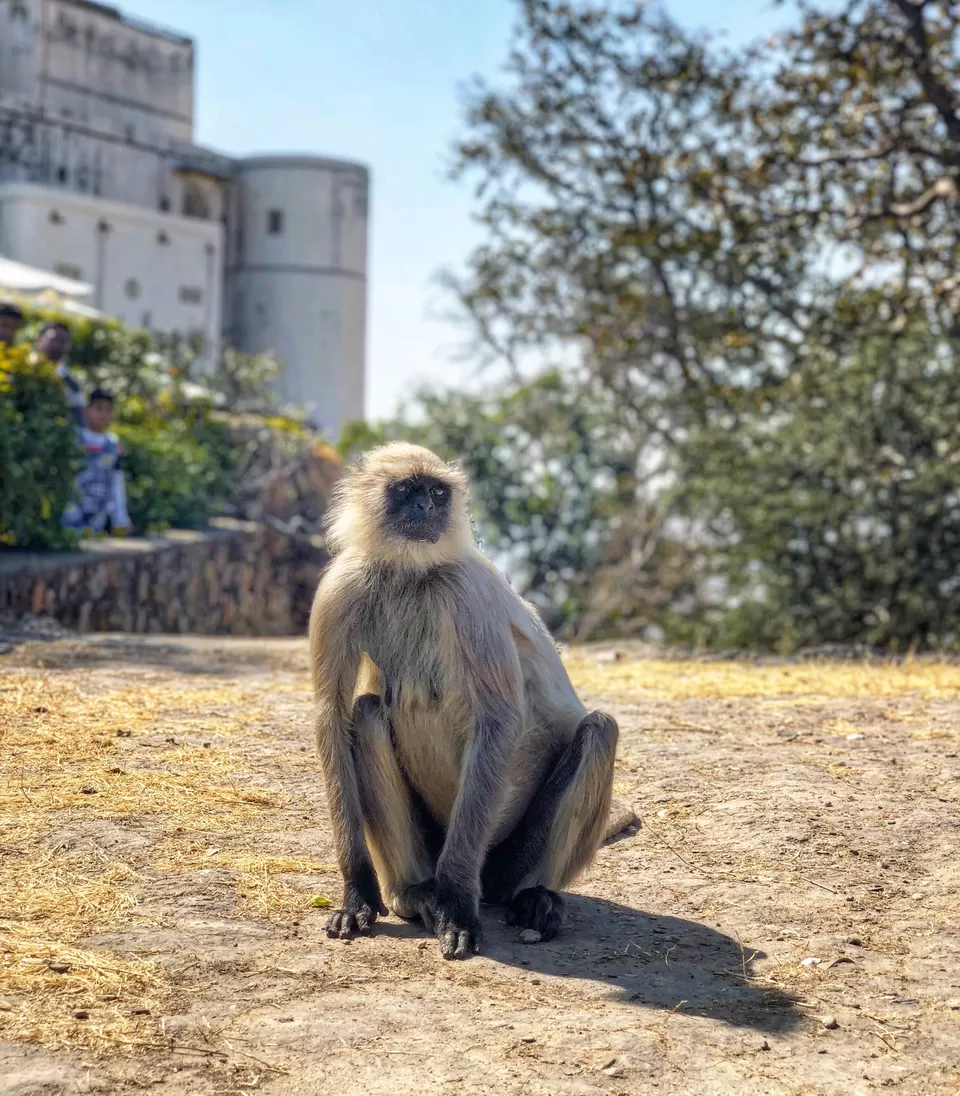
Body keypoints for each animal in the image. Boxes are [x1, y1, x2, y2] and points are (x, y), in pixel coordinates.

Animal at [311, 440, 618, 955]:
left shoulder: (468, 593)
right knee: (367, 710)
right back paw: (415, 892)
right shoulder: (341, 588)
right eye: (407, 490)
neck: (411, 574)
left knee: (600, 729)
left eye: (437, 492)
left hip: (503, 855)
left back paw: (530, 895)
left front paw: (456, 907)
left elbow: (498, 720)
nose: (425, 509)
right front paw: (358, 893)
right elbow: (332, 716)